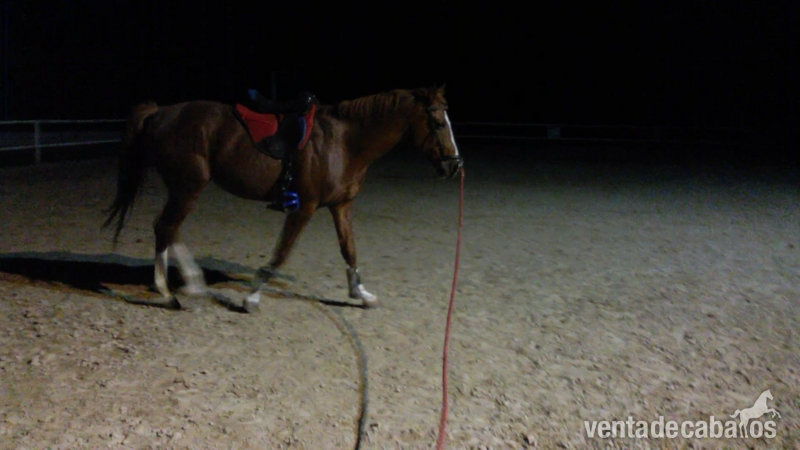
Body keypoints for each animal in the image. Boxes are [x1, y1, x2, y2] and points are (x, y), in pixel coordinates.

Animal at [103, 85, 463, 310]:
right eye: (437, 121)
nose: (455, 165)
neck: (344, 141)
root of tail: (161, 113)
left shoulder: (341, 206)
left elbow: (349, 249)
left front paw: (360, 292)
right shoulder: (303, 208)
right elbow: (280, 255)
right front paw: (251, 298)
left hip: (184, 187)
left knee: (168, 228)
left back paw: (191, 282)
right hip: (188, 186)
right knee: (165, 227)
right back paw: (168, 293)